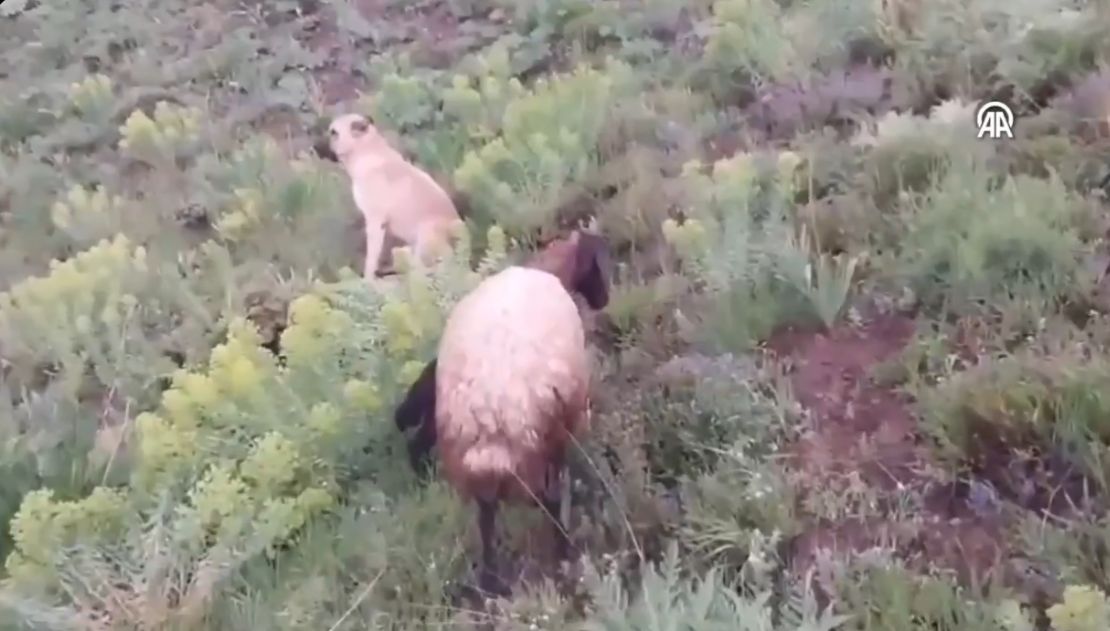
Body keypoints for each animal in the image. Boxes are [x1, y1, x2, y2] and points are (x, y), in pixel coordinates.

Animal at [317, 112, 463, 278]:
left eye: (333, 133)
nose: (314, 146)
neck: (366, 149)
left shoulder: (375, 222)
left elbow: (371, 258)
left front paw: (368, 278)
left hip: (426, 234)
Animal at [392, 227, 617, 595]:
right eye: (600, 263)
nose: (605, 300)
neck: (550, 270)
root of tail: (488, 424)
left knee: (483, 518)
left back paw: (491, 581)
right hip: (542, 446)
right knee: (551, 501)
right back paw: (563, 558)